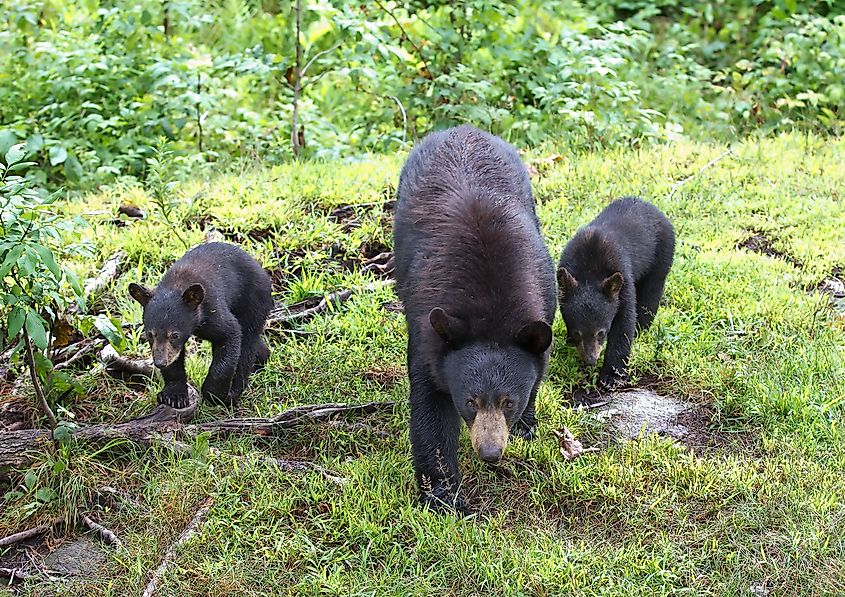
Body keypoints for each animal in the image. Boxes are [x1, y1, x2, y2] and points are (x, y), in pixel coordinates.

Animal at [128, 240, 270, 408]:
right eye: (150, 334)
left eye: (175, 335)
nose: (160, 362)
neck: (177, 284)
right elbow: (175, 361)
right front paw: (174, 395)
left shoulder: (213, 310)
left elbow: (230, 335)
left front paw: (215, 394)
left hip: (254, 301)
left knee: (247, 342)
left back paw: (236, 389)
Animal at [394, 124, 556, 512]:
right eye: (470, 401)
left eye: (509, 401)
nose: (490, 452)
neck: (490, 311)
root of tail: (462, 128)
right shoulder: (429, 332)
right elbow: (430, 408)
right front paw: (443, 496)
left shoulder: (546, 291)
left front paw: (526, 426)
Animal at [556, 198, 676, 388]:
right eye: (577, 332)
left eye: (601, 332)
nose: (590, 360)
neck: (590, 269)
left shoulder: (622, 277)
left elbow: (624, 324)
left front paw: (612, 377)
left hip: (663, 251)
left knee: (652, 290)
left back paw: (642, 327)